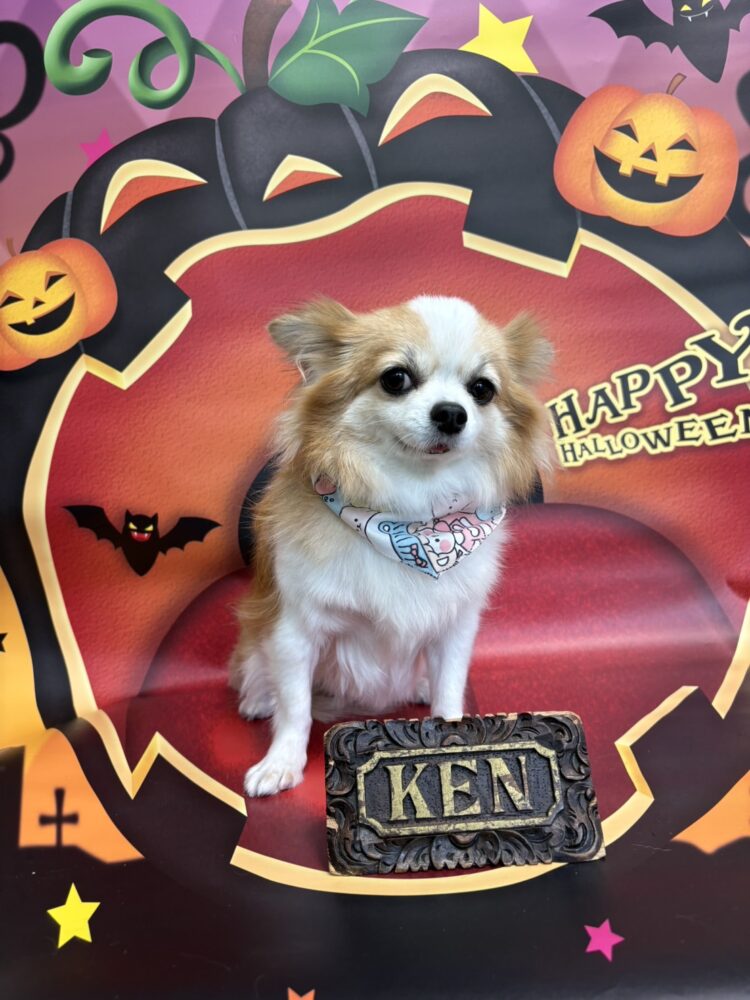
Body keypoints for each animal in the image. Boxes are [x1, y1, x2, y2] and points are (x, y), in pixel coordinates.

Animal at [230, 296, 552, 797]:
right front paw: (281, 763)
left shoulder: (455, 628)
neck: (412, 519)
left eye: (482, 389)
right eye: (395, 378)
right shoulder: (294, 630)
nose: (452, 412)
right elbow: (296, 707)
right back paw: (259, 697)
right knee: (259, 668)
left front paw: (453, 736)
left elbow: (448, 688)